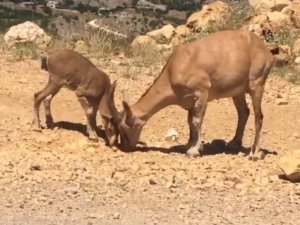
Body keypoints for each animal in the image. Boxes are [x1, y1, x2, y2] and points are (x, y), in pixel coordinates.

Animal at [109, 29, 274, 160]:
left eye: (124, 128)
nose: (125, 147)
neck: (175, 69)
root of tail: (266, 51)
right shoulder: (188, 100)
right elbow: (189, 121)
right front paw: (189, 144)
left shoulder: (202, 92)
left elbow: (196, 121)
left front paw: (194, 150)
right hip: (238, 91)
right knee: (243, 112)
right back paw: (234, 142)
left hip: (257, 83)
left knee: (259, 117)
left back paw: (254, 153)